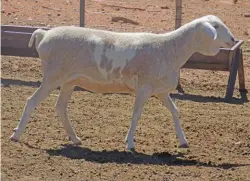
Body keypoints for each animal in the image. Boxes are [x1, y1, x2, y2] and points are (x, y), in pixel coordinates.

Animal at [9, 14, 235, 149]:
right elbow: (136, 115)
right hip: (53, 75)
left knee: (60, 107)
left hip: (69, 80)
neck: (170, 48)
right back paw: (17, 135)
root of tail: (44, 34)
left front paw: (183, 141)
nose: (233, 40)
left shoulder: (160, 90)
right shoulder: (144, 88)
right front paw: (130, 144)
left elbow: (175, 111)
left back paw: (75, 138)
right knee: (31, 102)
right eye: (215, 26)